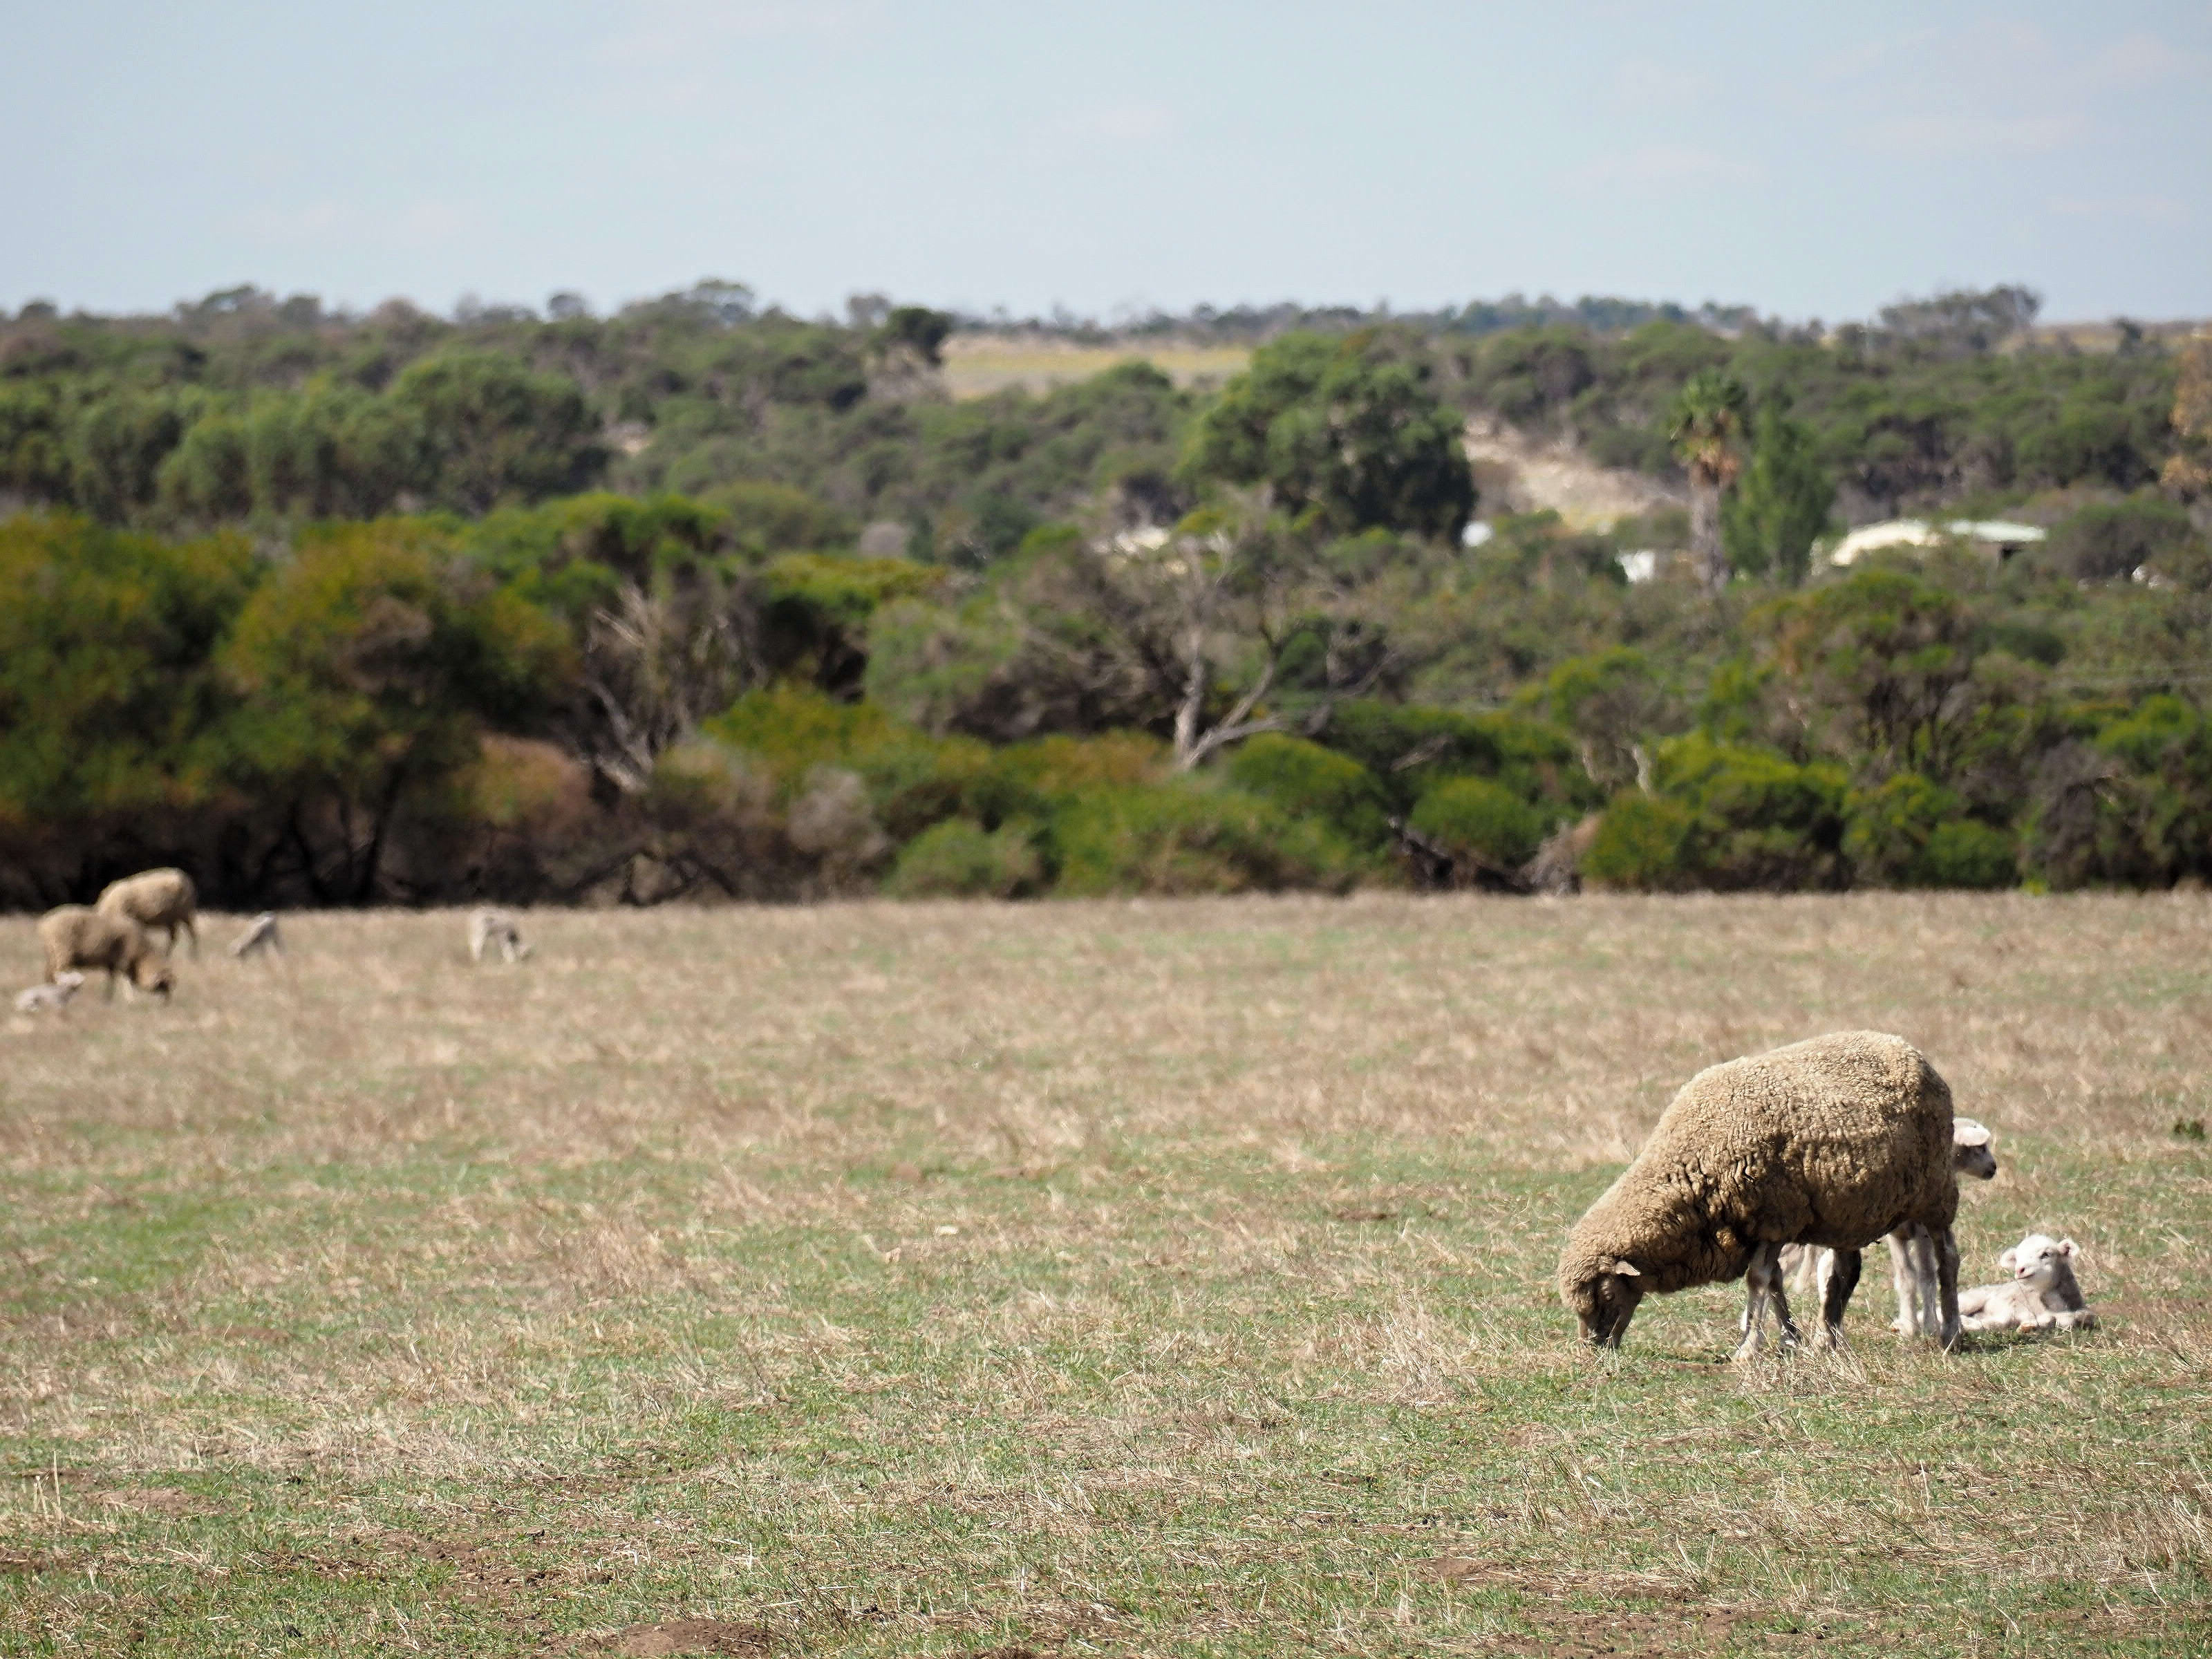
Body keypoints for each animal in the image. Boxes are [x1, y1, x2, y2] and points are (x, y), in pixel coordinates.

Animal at [37, 907, 174, 1000]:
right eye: (163, 984)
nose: (167, 1002)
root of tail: (44, 925)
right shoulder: (123, 961)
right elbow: (126, 981)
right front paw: (130, 999)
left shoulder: (111, 963)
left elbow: (111, 980)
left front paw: (108, 998)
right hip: (63, 952)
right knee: (58, 974)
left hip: (53, 955)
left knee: (49, 974)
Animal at [96, 868, 199, 958]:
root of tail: (185, 877)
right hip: (171, 917)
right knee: (173, 937)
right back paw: (167, 955)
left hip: (185, 911)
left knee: (192, 933)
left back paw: (193, 955)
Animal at [1557, 1030, 1965, 1358]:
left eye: (1607, 1295)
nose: (1594, 1349)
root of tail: (1907, 1048)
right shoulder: (1759, 1227)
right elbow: (1775, 1282)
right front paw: (1790, 1339)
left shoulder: (1774, 1218)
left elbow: (1759, 1280)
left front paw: (1749, 1348)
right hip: (1848, 1211)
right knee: (1844, 1272)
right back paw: (1828, 1338)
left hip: (1935, 1191)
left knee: (1947, 1258)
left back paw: (1950, 1333)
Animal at [1782, 1116, 1997, 1340]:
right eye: (1980, 1147)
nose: (1994, 1167)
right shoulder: (1896, 1235)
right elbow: (1907, 1276)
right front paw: (1913, 1327)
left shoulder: (1921, 1231)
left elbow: (1926, 1274)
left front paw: (1927, 1326)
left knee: (1822, 1266)